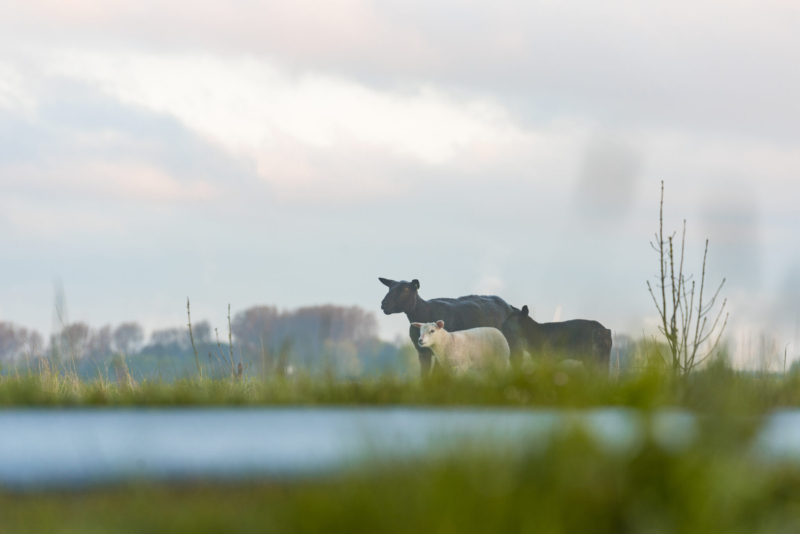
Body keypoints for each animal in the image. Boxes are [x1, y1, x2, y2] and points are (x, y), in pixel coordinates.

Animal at [376, 278, 512, 378]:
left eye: (405, 289)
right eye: (389, 287)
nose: (384, 304)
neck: (425, 311)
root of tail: (508, 305)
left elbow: (436, 375)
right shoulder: (422, 353)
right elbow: (424, 376)